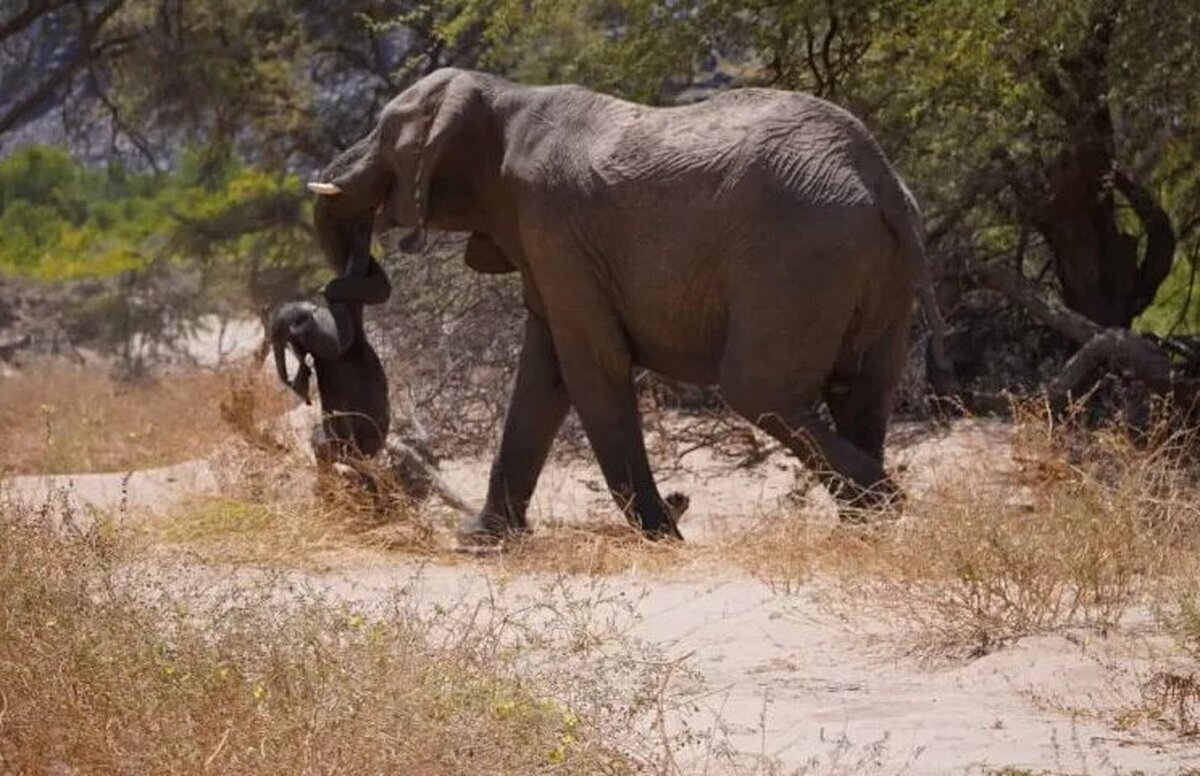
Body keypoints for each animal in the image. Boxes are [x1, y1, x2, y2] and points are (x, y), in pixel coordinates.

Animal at [309, 66, 945, 544]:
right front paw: (481, 541)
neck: (502, 96)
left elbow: (591, 365)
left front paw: (662, 536)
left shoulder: (553, 224)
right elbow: (544, 371)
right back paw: (863, 528)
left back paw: (885, 503)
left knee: (756, 387)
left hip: (801, 256)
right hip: (872, 270)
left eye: (382, 130)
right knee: (861, 389)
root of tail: (882, 180)